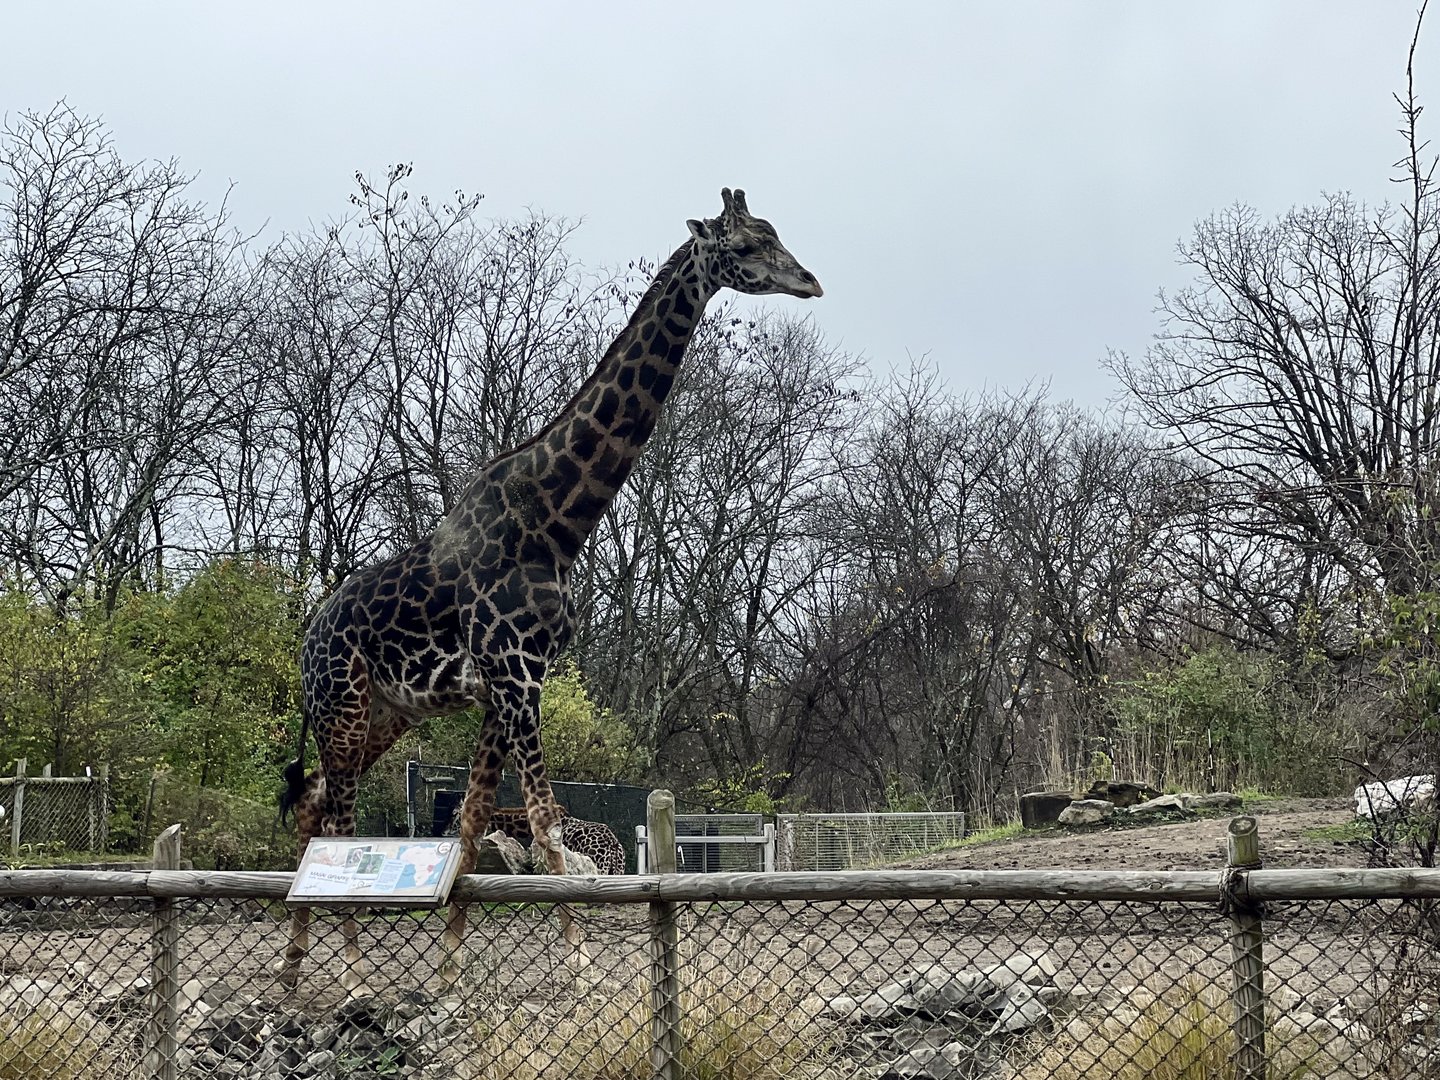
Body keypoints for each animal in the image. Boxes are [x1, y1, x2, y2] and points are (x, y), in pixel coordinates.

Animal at [276, 187, 821, 988]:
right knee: (337, 817)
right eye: (749, 245)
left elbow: (475, 819)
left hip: (385, 712)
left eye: (776, 232)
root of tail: (306, 640)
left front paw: (452, 969)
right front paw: (580, 961)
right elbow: (541, 817)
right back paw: (345, 969)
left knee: (314, 801)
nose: (810, 281)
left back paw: (293, 965)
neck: (558, 520)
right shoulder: (516, 672)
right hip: (341, 704)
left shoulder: (506, 682)